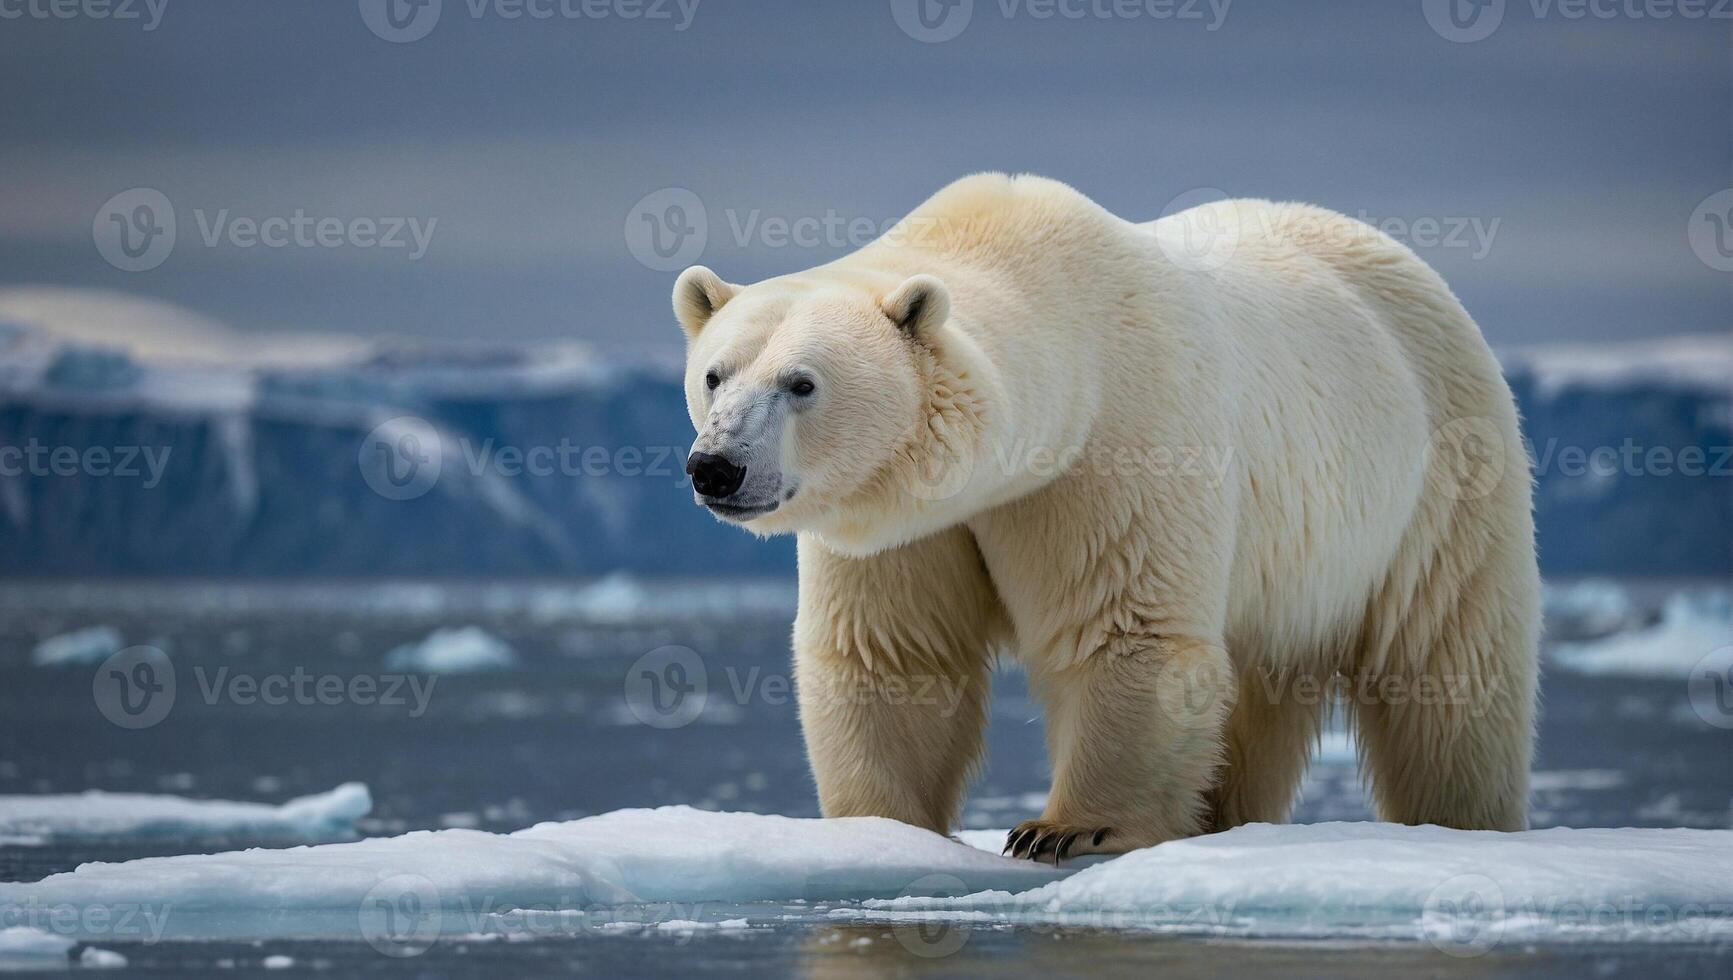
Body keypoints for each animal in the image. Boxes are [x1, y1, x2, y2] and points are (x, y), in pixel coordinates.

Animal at [668, 171, 1538, 860]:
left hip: (1440, 474)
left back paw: (1459, 819)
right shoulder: (909, 521)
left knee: (1446, 667)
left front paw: (1063, 828)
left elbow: (1124, 629)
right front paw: (879, 826)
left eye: (801, 382)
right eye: (715, 374)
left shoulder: (1114, 446)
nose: (715, 466)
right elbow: (894, 653)